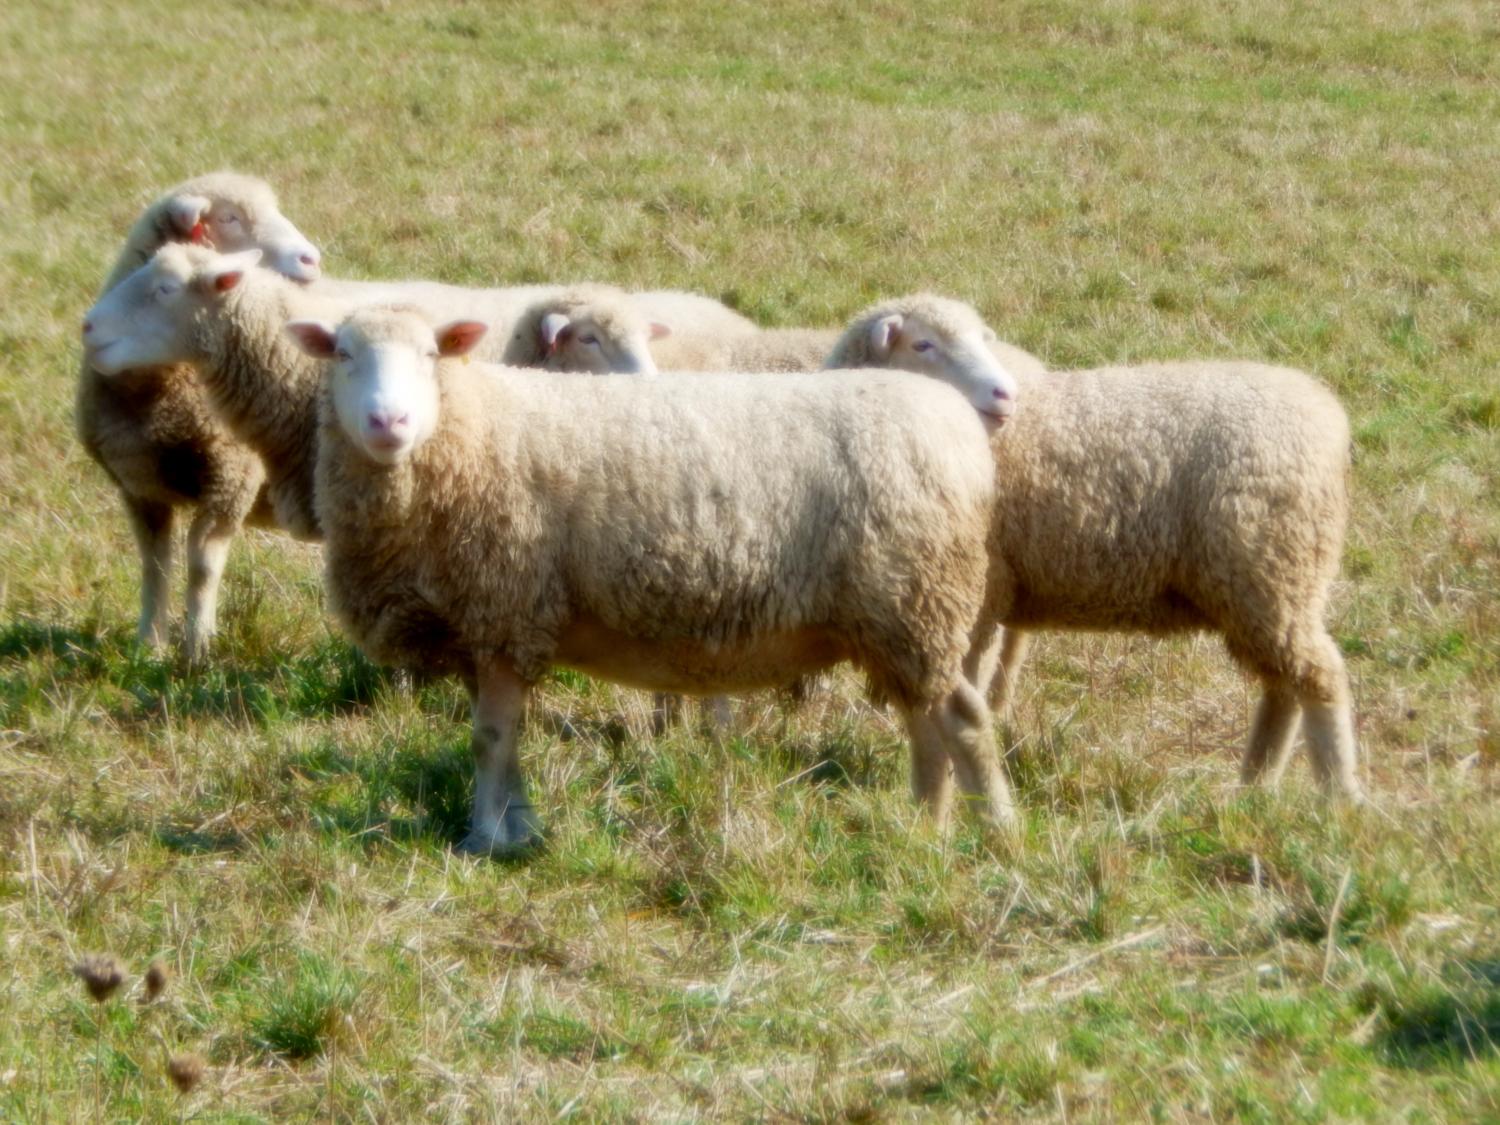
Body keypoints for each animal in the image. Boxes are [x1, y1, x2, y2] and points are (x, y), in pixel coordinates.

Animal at [75, 173, 323, 662]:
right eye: (228, 218)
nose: (311, 259)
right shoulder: (138, 487)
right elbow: (155, 565)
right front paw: (149, 646)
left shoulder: (231, 480)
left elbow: (202, 564)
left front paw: (198, 647)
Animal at [285, 305, 1009, 855]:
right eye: (343, 353)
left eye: (431, 355)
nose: (389, 422)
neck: (468, 432)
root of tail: (960, 432)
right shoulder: (483, 625)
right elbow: (501, 736)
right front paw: (517, 826)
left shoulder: (508, 608)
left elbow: (489, 739)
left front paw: (484, 839)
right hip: (902, 619)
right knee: (925, 719)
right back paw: (924, 826)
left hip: (914, 601)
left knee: (963, 716)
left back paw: (996, 830)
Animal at [829, 299, 1362, 798]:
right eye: (923, 344)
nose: (1006, 394)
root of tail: (1327, 413)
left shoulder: (976, 595)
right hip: (1269, 587)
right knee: (1284, 687)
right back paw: (1255, 787)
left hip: (1270, 570)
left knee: (1320, 678)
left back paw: (1339, 795)